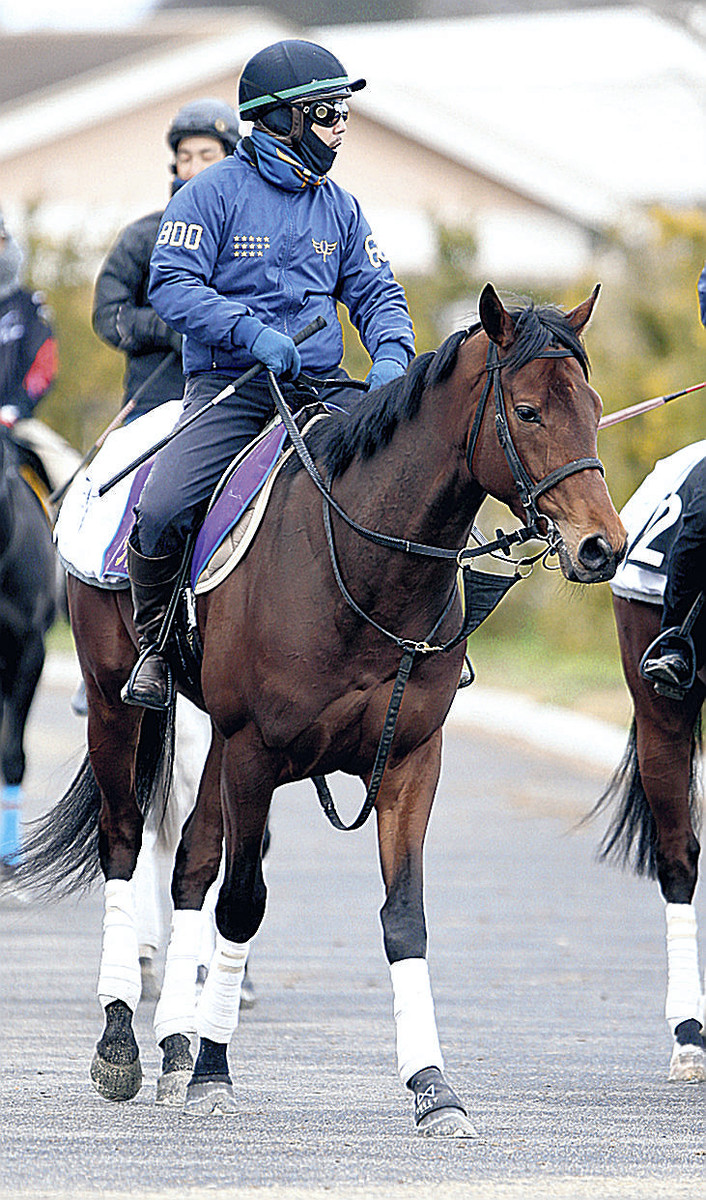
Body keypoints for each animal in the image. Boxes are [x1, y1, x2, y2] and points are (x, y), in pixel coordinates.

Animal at [19, 285, 624, 1137]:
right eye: (531, 411)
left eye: (594, 407)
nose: (604, 544)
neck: (363, 564)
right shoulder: (254, 754)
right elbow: (242, 906)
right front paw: (214, 1073)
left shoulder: (409, 763)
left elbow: (403, 918)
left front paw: (434, 1087)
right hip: (116, 706)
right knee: (125, 841)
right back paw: (122, 1041)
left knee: (190, 863)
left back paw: (173, 1042)